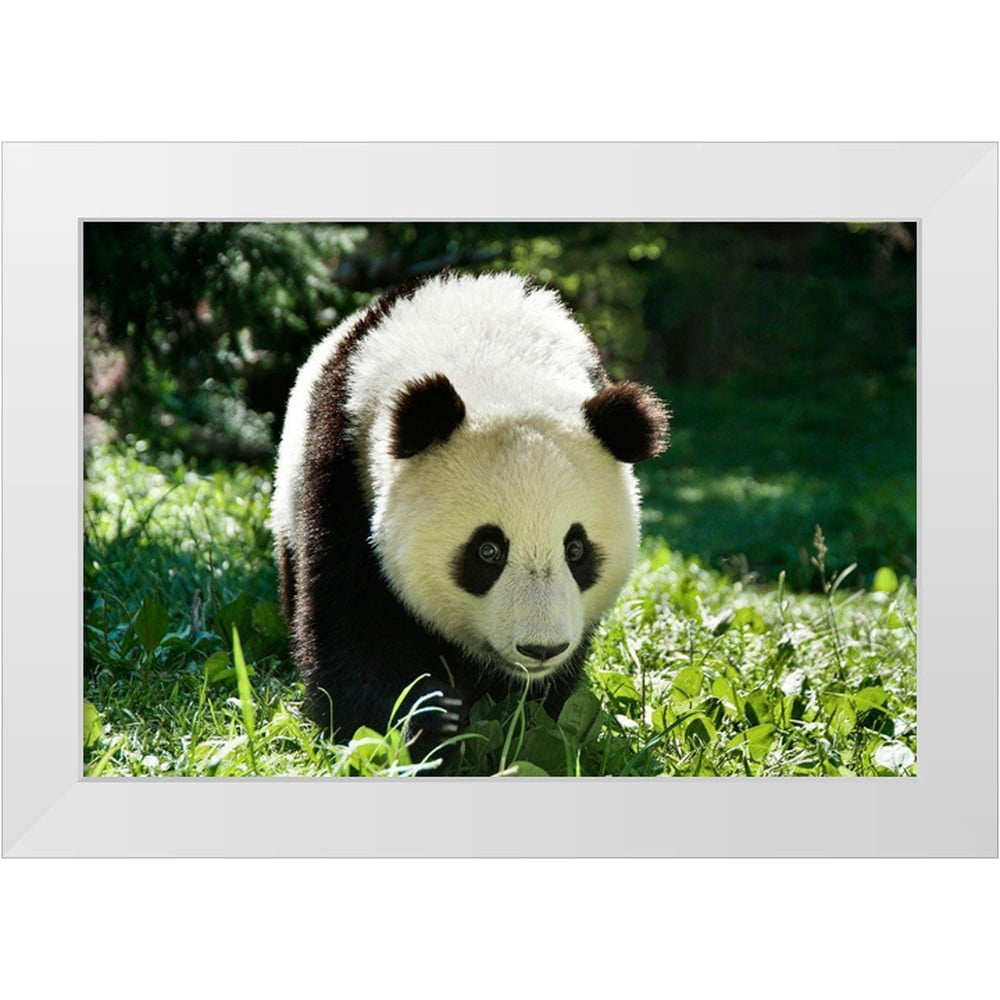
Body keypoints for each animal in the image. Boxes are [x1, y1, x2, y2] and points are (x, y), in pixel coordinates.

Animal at [270, 271, 668, 766]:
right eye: (487, 550)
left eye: (576, 549)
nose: (540, 648)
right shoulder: (343, 468)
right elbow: (353, 626)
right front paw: (426, 720)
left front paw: (526, 721)